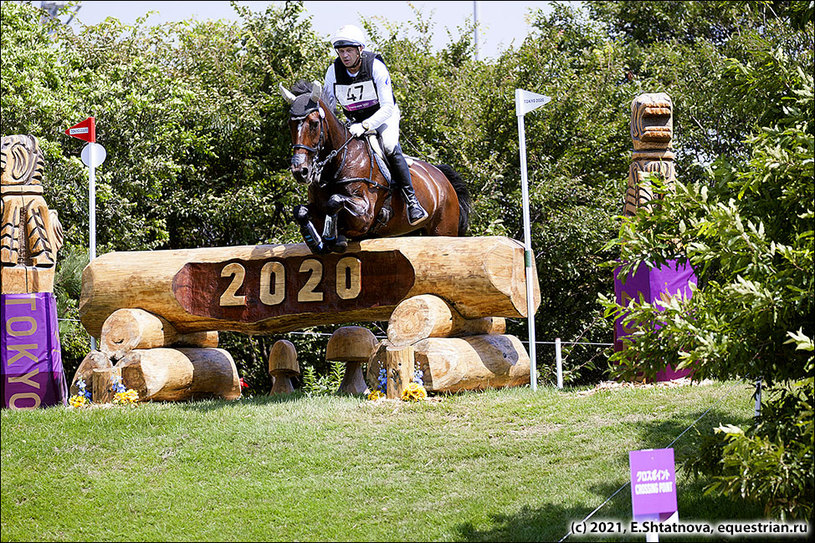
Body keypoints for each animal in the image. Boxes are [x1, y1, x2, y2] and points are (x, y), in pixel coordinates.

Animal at [280, 79, 472, 254]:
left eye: (314, 123)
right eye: (290, 124)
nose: (300, 171)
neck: (338, 163)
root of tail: (442, 177)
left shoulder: (365, 214)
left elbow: (334, 201)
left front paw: (331, 238)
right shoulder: (318, 208)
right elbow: (301, 211)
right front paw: (316, 243)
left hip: (443, 229)